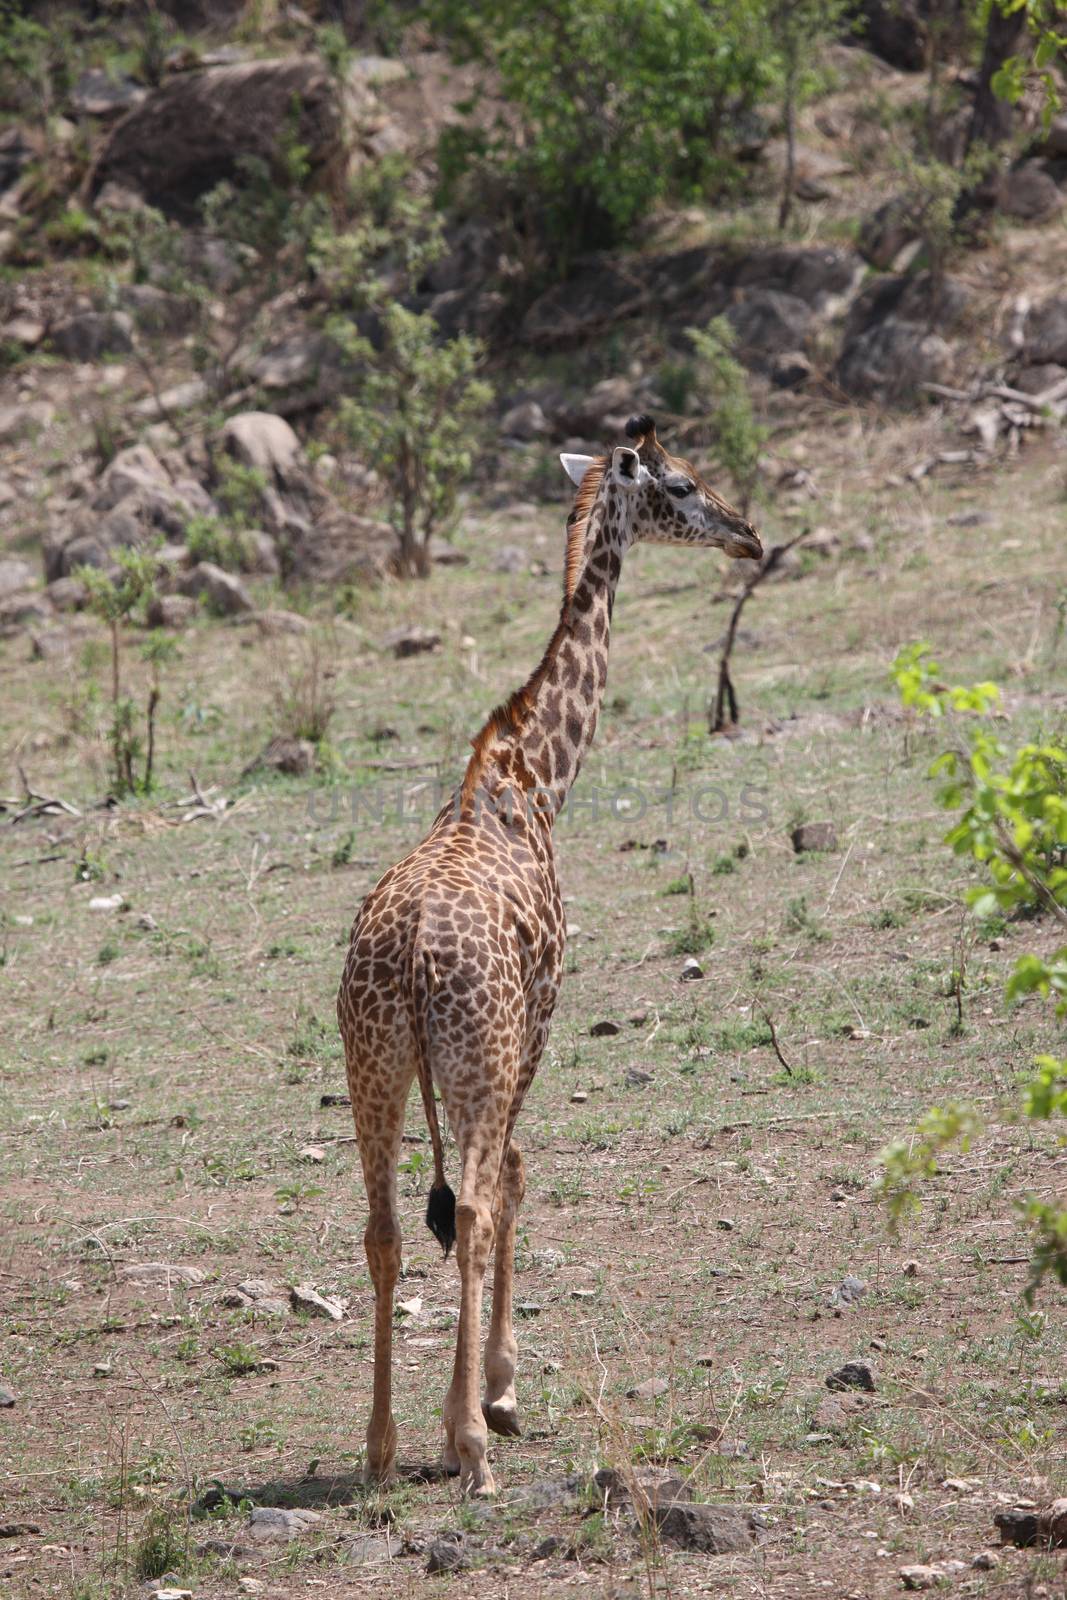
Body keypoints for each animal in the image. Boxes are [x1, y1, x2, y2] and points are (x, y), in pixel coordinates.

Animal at [337, 412, 764, 1497]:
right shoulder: (539, 1021)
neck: (532, 776)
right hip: (475, 1058)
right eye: (683, 484)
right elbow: (521, 1178)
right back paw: (470, 1443)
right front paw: (499, 1389)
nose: (748, 535)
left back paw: (380, 1447)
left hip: (373, 1066)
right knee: (476, 1205)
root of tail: (408, 960)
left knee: (386, 1226)